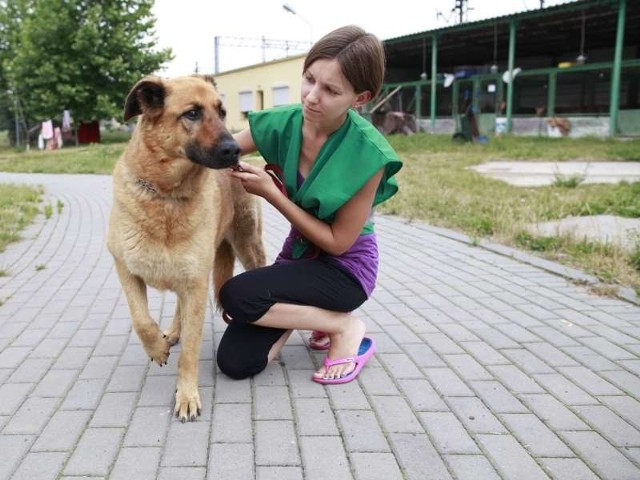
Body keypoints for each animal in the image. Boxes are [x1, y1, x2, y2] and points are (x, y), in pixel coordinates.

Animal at [107, 74, 264, 420]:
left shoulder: (195, 283)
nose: (235, 150)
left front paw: (187, 395)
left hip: (247, 247)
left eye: (221, 112)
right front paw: (157, 348)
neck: (166, 196)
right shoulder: (125, 269)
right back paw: (172, 333)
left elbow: (190, 352)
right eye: (192, 113)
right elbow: (142, 321)